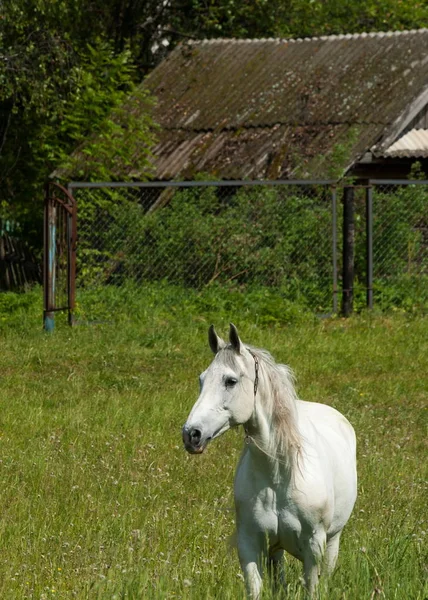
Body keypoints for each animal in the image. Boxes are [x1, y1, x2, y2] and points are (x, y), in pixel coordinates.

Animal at [183, 326, 358, 596]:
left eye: (230, 381)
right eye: (202, 379)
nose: (191, 434)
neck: (278, 476)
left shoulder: (313, 547)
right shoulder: (251, 545)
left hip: (332, 541)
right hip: (276, 551)